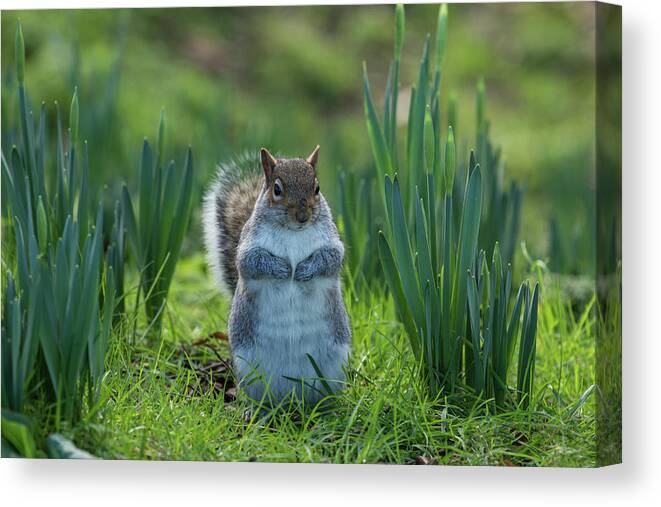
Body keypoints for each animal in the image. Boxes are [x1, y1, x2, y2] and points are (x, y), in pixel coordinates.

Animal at [202, 145, 350, 406]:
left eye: (317, 188)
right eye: (277, 190)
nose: (302, 217)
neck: (293, 231)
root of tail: (293, 397)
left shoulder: (332, 243)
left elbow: (330, 259)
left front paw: (303, 270)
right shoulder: (248, 247)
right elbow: (252, 262)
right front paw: (282, 269)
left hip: (334, 365)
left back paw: (325, 408)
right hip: (250, 369)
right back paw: (259, 409)